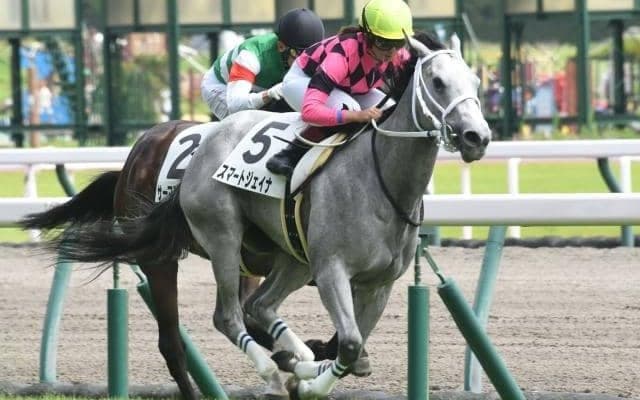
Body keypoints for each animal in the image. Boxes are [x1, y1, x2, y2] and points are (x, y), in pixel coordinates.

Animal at [25, 32, 491, 399]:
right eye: (437, 81)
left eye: (475, 82)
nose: (477, 137)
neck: (380, 179)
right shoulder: (331, 268)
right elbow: (350, 344)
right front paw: (308, 381)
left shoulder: (378, 283)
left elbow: (350, 345)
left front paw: (311, 368)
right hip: (206, 244)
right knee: (212, 325)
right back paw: (273, 370)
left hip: (289, 257)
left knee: (260, 308)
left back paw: (295, 360)